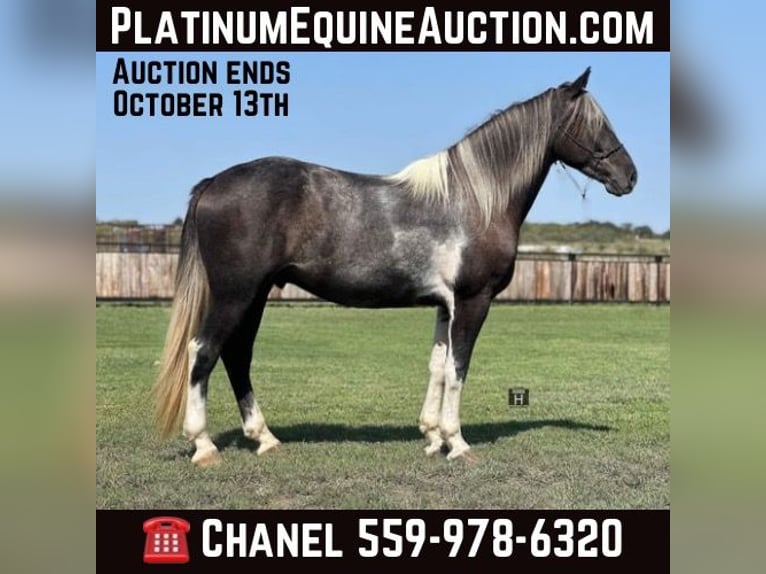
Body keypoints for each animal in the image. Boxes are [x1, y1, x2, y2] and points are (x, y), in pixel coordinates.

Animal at [153, 67, 637, 467]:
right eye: (595, 124)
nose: (629, 176)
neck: (474, 200)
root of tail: (214, 183)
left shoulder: (445, 305)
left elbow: (437, 367)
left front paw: (433, 437)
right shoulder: (473, 301)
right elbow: (458, 369)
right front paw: (457, 443)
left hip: (255, 296)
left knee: (236, 355)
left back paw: (265, 438)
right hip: (236, 294)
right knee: (203, 351)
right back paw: (204, 446)